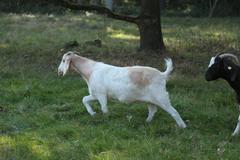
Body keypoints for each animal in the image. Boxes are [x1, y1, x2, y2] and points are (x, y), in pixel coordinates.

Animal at [58, 51, 188, 127]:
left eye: (63, 60)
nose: (59, 71)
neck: (91, 71)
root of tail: (162, 75)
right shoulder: (95, 94)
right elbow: (84, 99)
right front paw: (92, 113)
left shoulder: (101, 95)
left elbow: (104, 108)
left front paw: (106, 119)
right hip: (150, 99)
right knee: (152, 110)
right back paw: (147, 122)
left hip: (161, 97)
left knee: (174, 112)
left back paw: (182, 126)